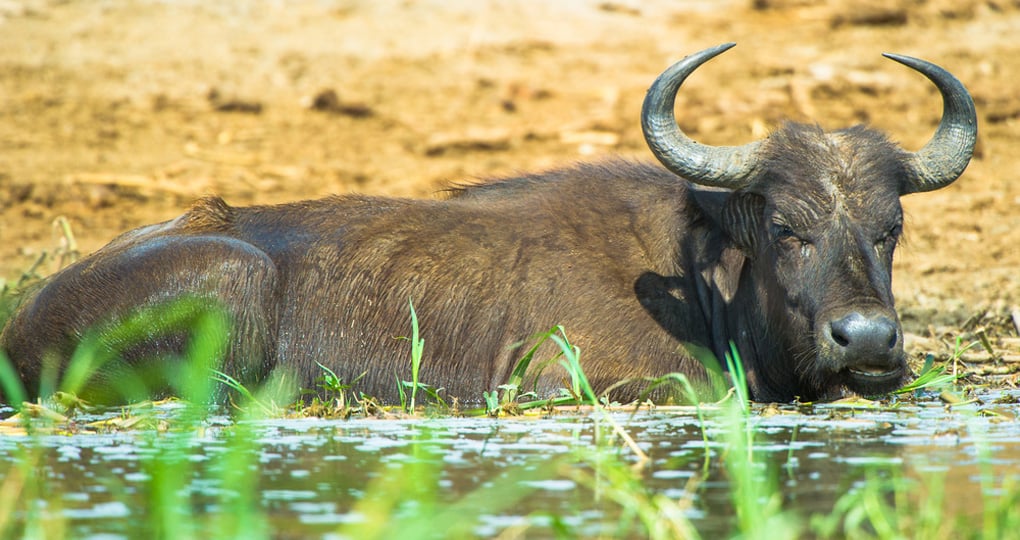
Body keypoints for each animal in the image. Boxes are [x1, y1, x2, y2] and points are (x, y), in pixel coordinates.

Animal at [0, 43, 977, 404]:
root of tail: (25, 322)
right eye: (785, 228)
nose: (867, 339)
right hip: (229, 275)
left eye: (890, 227)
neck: (698, 278)